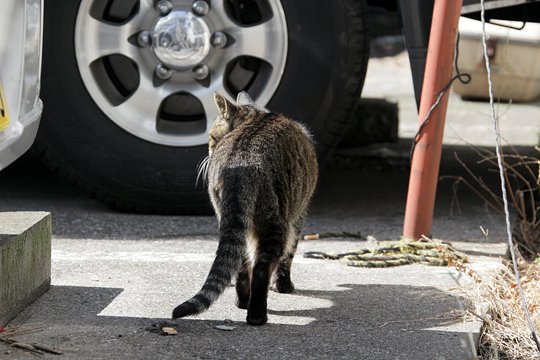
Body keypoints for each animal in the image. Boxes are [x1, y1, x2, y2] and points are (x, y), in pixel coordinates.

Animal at [172, 91, 316, 324]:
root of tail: (240, 165)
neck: (257, 116)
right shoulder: (298, 216)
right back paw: (256, 315)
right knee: (261, 268)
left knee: (240, 263)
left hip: (231, 219)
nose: (208, 150)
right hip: (274, 222)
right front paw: (283, 286)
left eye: (211, 137)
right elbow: (289, 255)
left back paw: (242, 302)